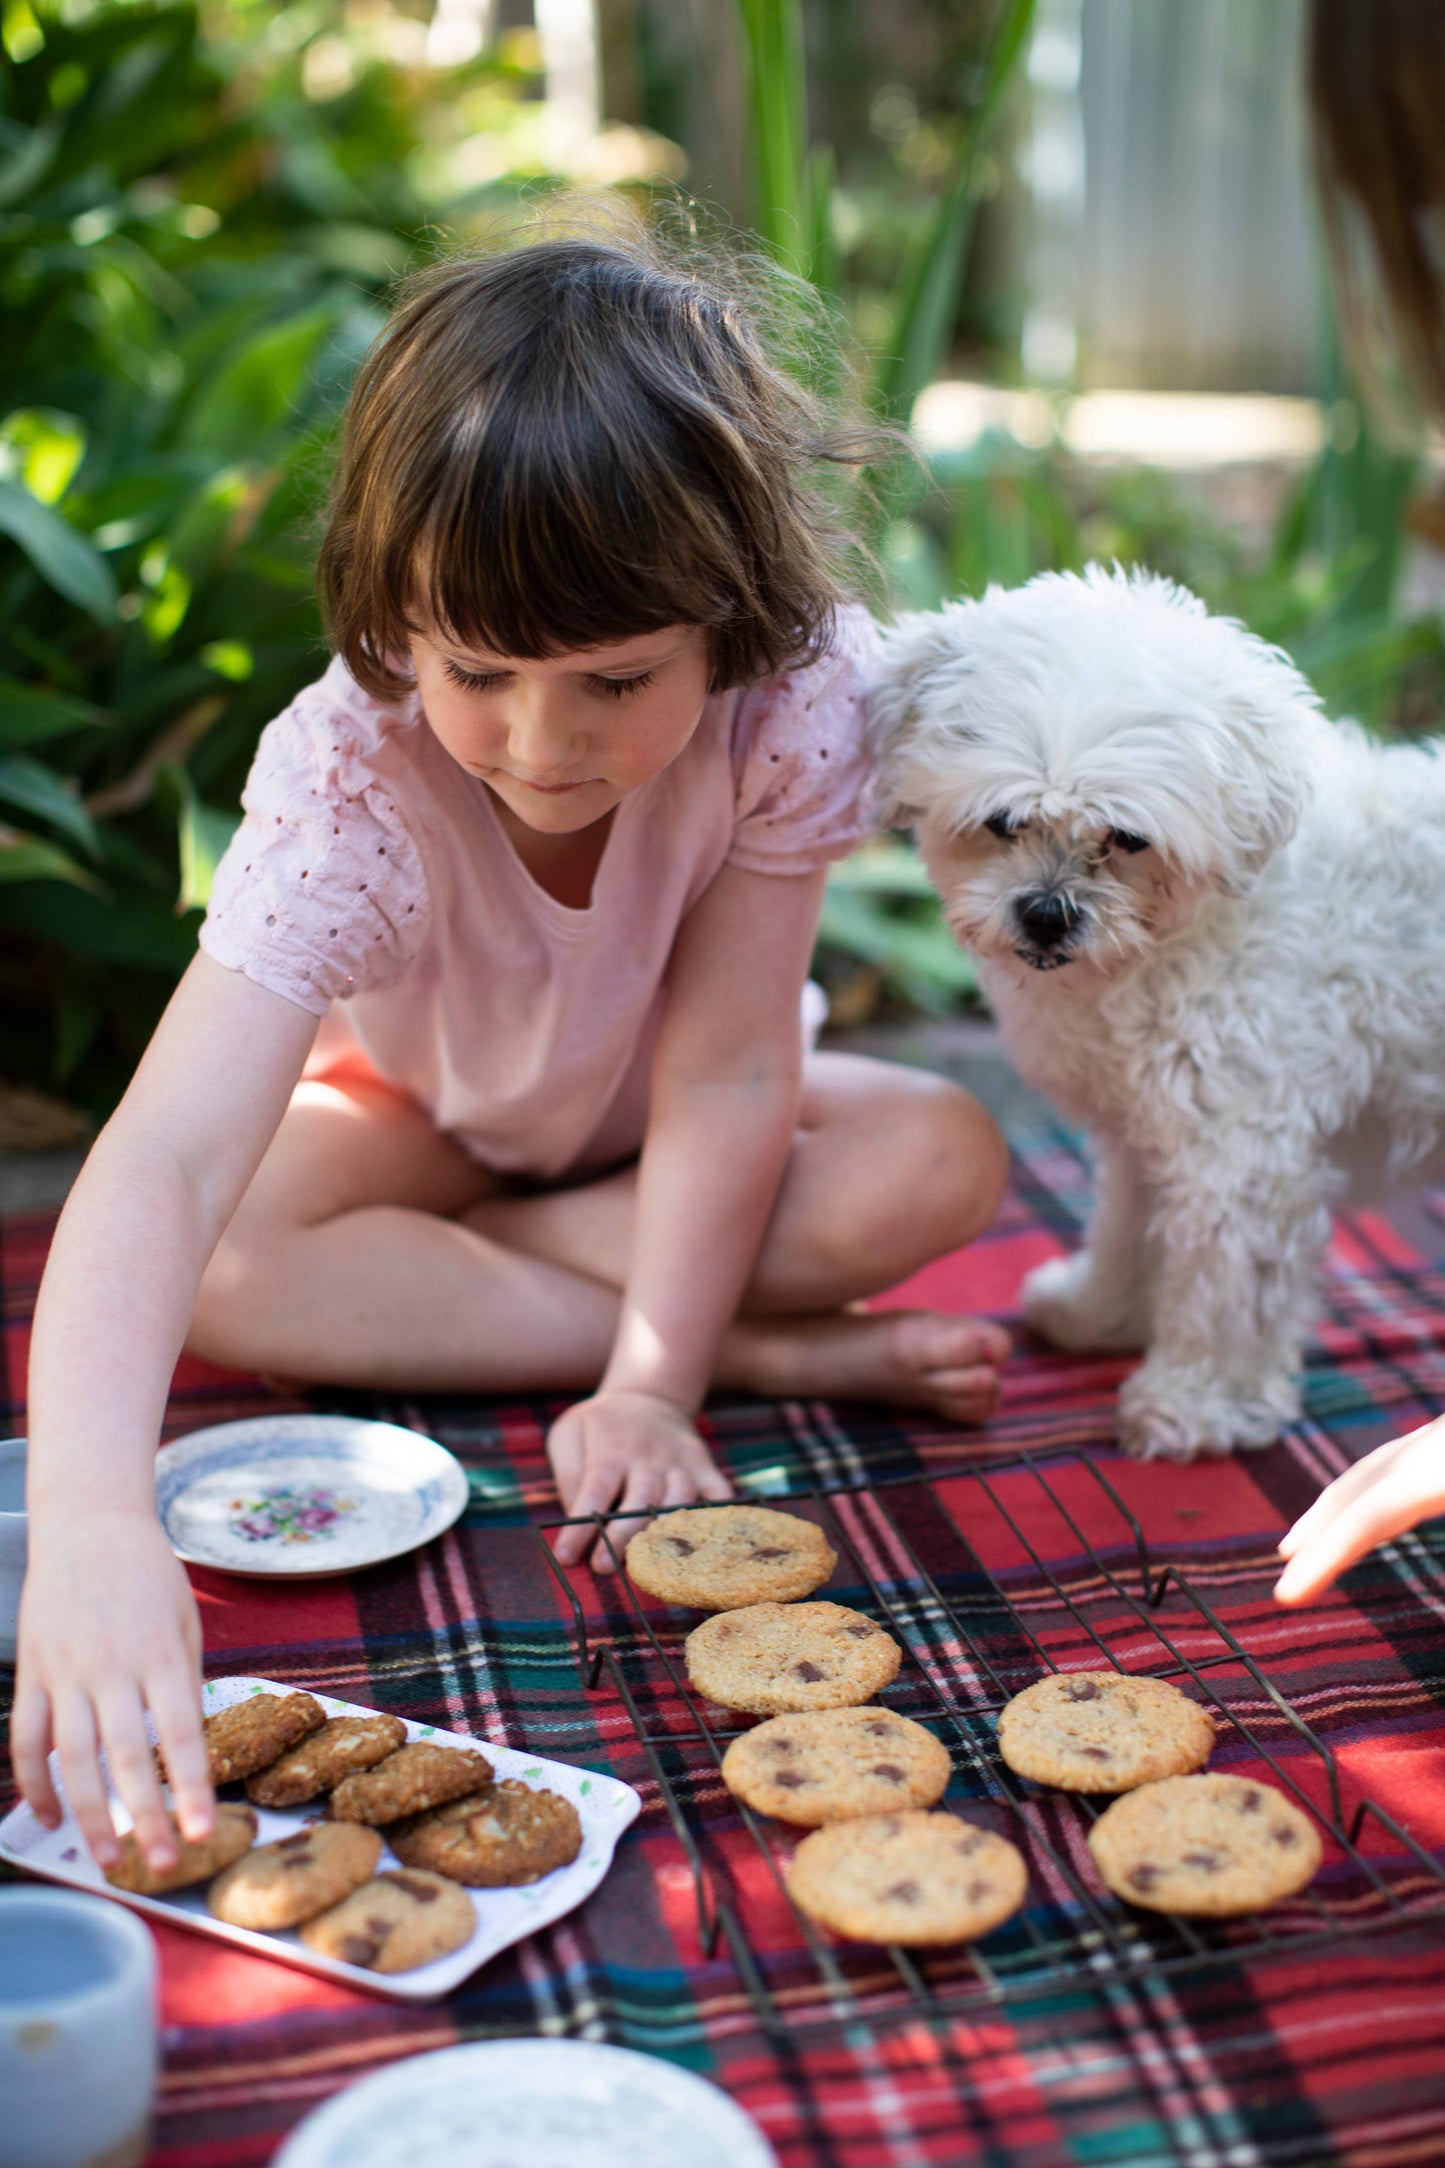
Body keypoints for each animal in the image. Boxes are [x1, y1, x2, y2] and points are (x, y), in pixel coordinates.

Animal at [870, 568, 1445, 1465]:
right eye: (1003, 822)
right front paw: (1099, 1315)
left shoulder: (1240, 1148)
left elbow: (1224, 1287)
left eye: (1126, 837)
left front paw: (1198, 1404)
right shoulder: (1146, 1122)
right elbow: (1129, 1229)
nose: (1045, 913)